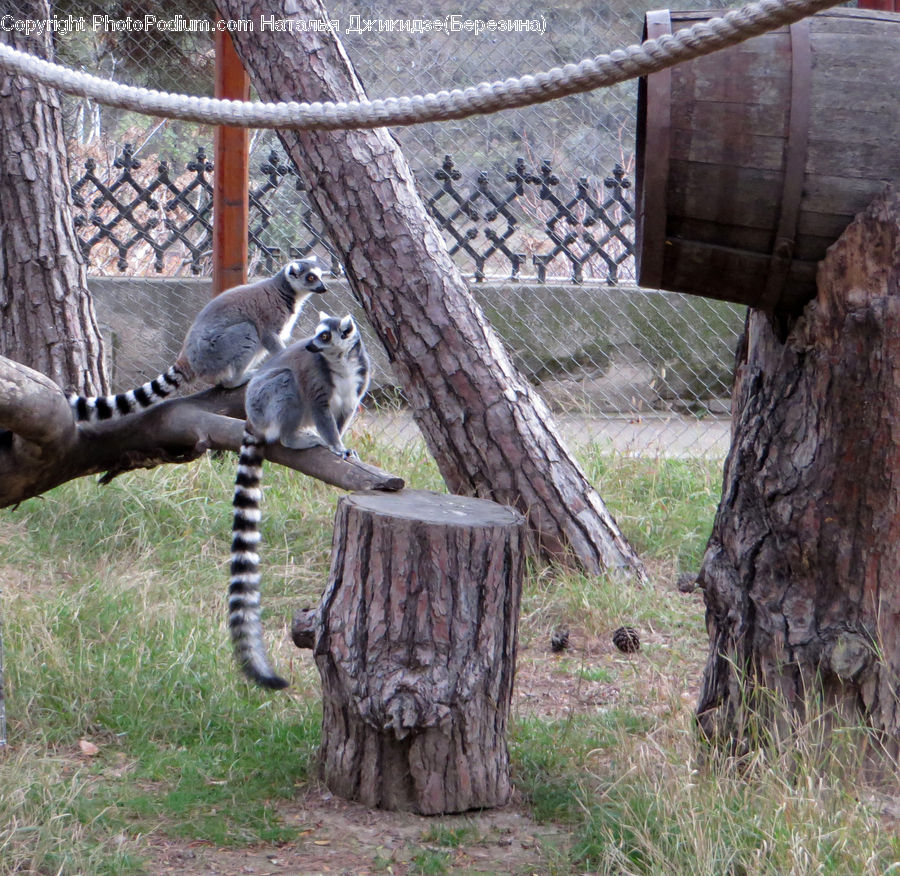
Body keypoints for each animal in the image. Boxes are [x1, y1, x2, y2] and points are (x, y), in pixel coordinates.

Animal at [68, 258, 327, 422]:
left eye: (320, 276)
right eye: (310, 277)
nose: (324, 287)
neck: (286, 292)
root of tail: (187, 357)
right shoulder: (269, 315)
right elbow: (267, 337)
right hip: (214, 351)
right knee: (247, 331)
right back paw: (236, 379)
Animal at [228, 313, 370, 689]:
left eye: (325, 336)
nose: (308, 346)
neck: (340, 364)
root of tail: (251, 416)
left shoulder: (356, 384)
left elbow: (343, 413)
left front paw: (344, 447)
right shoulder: (316, 381)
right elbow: (322, 409)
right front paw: (336, 447)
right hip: (264, 400)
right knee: (287, 380)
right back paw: (293, 439)